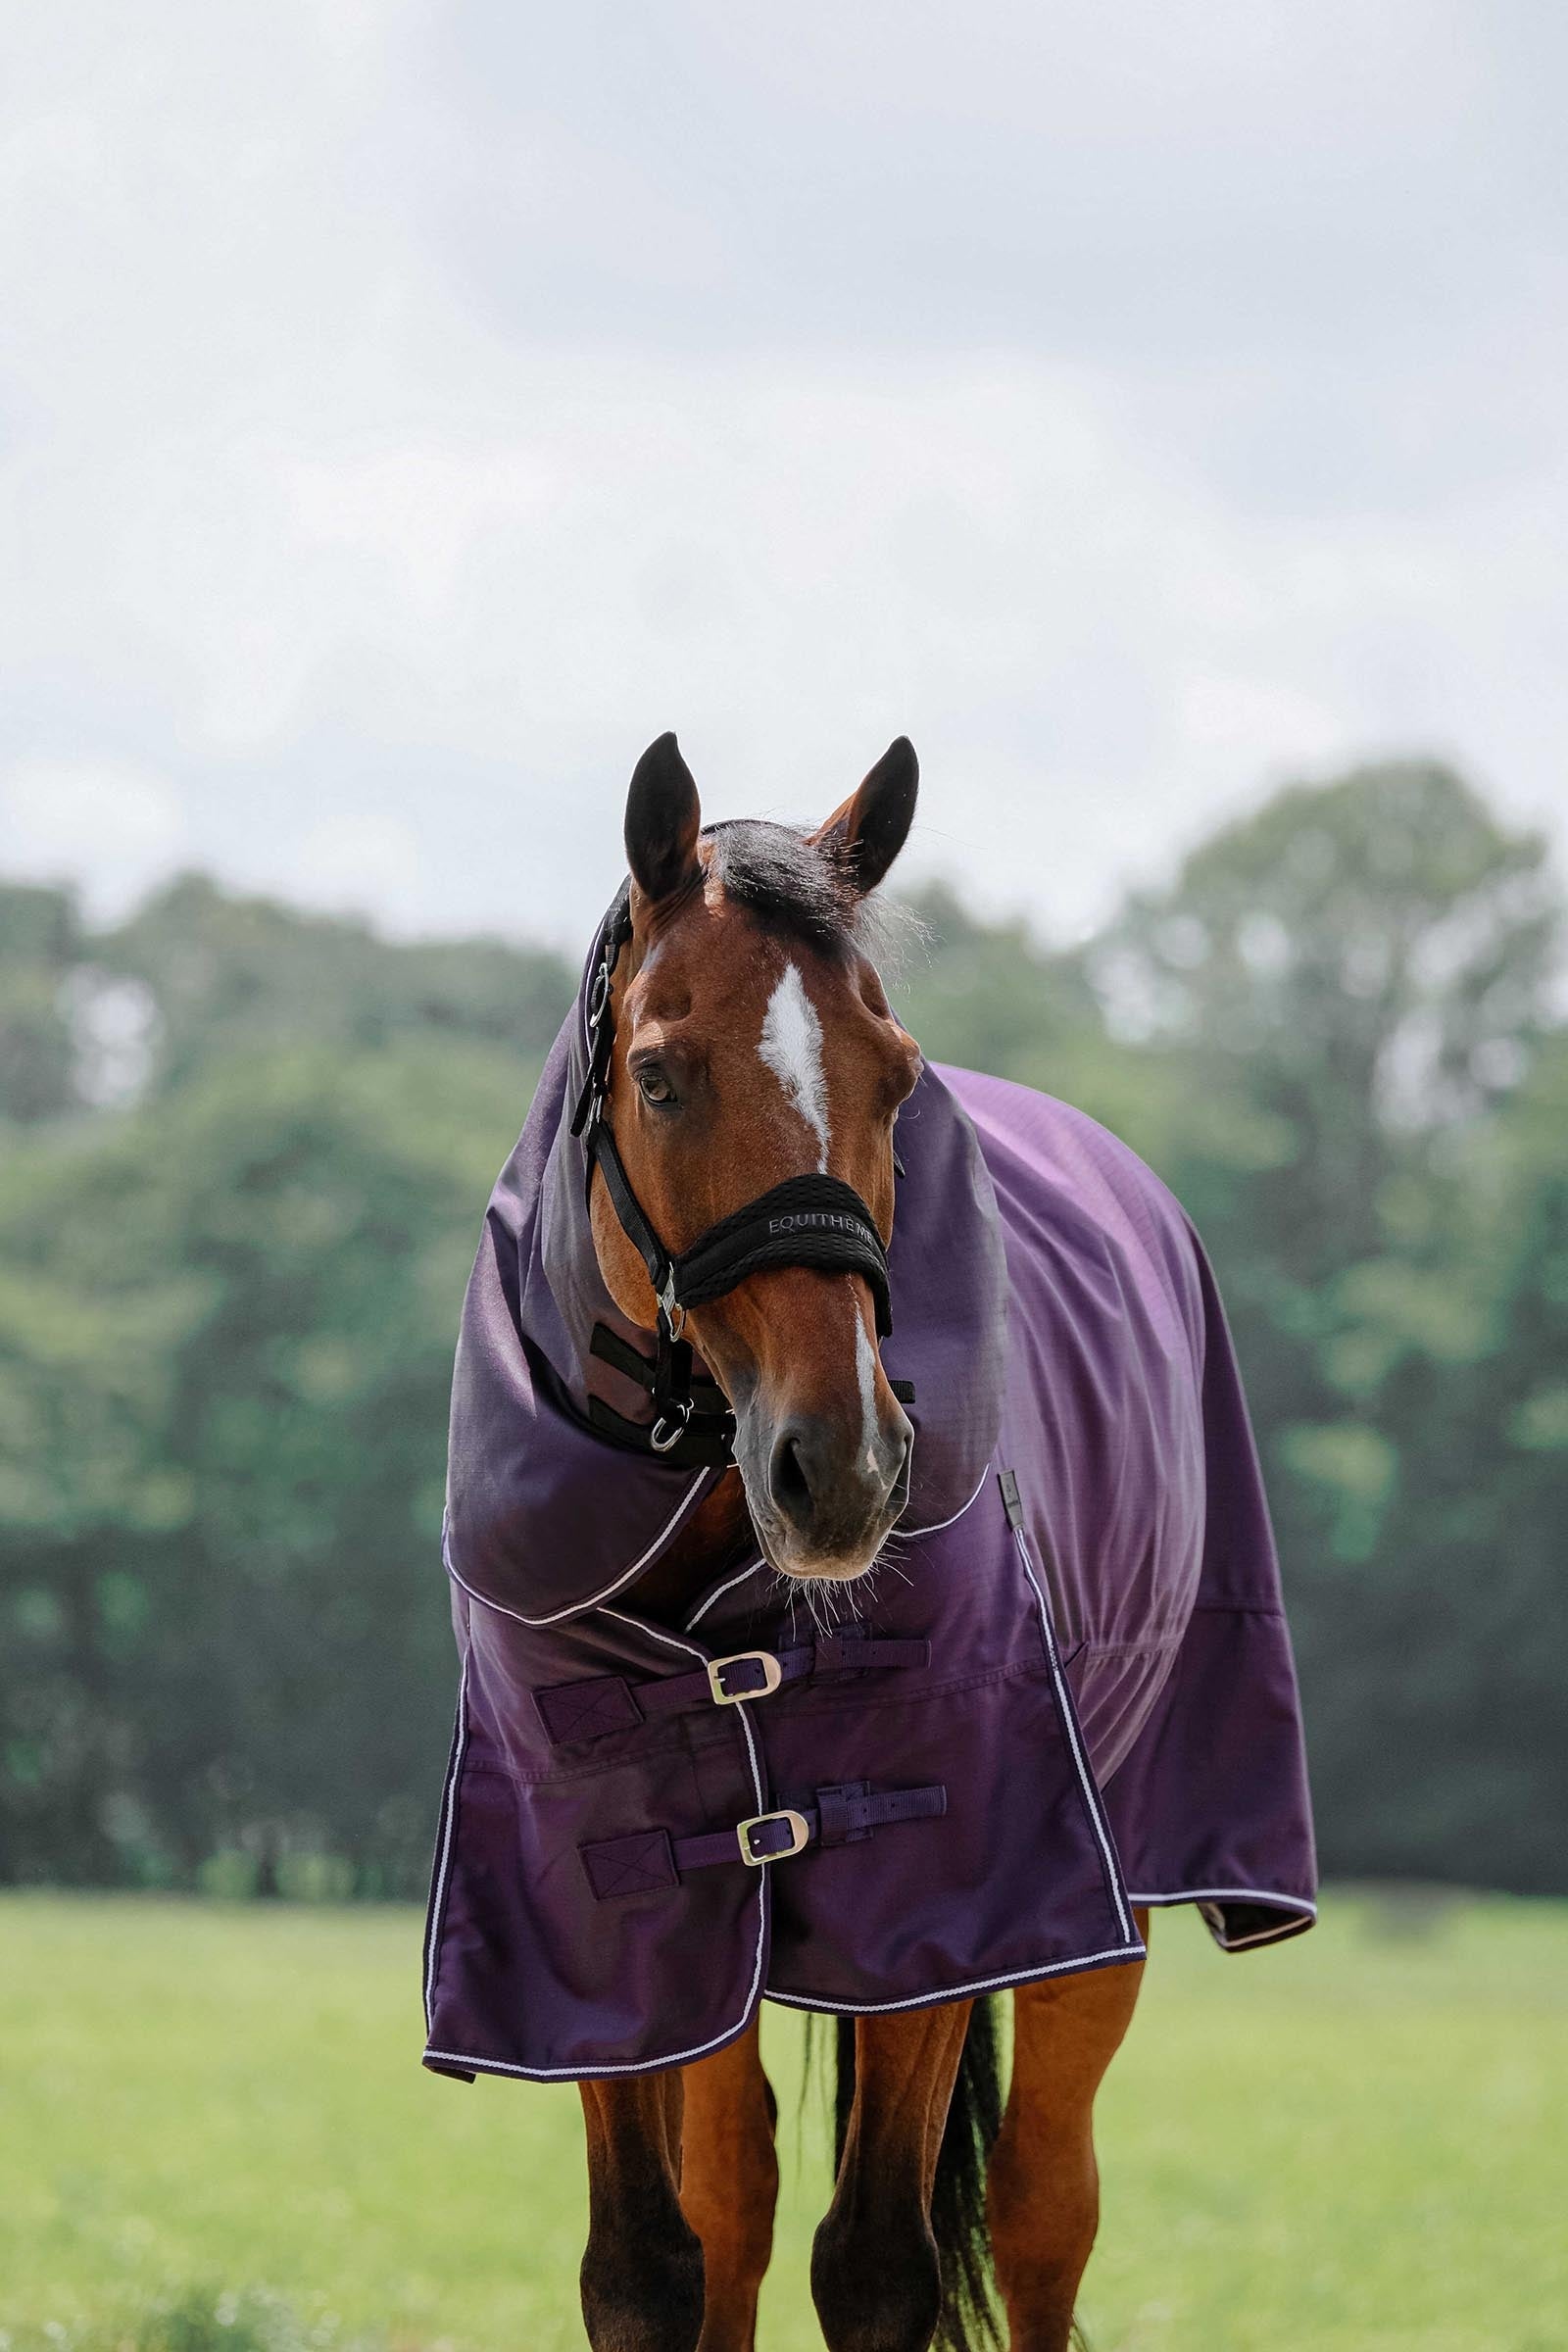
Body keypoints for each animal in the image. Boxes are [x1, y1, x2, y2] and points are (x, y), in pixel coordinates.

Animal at [421, 732, 1316, 2352]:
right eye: (662, 1074)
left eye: (894, 1077)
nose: (842, 1468)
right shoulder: (611, 1920)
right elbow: (651, 2265)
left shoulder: (953, 1894)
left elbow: (883, 2268)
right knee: (741, 2197)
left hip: (1108, 1906)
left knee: (1041, 2217)